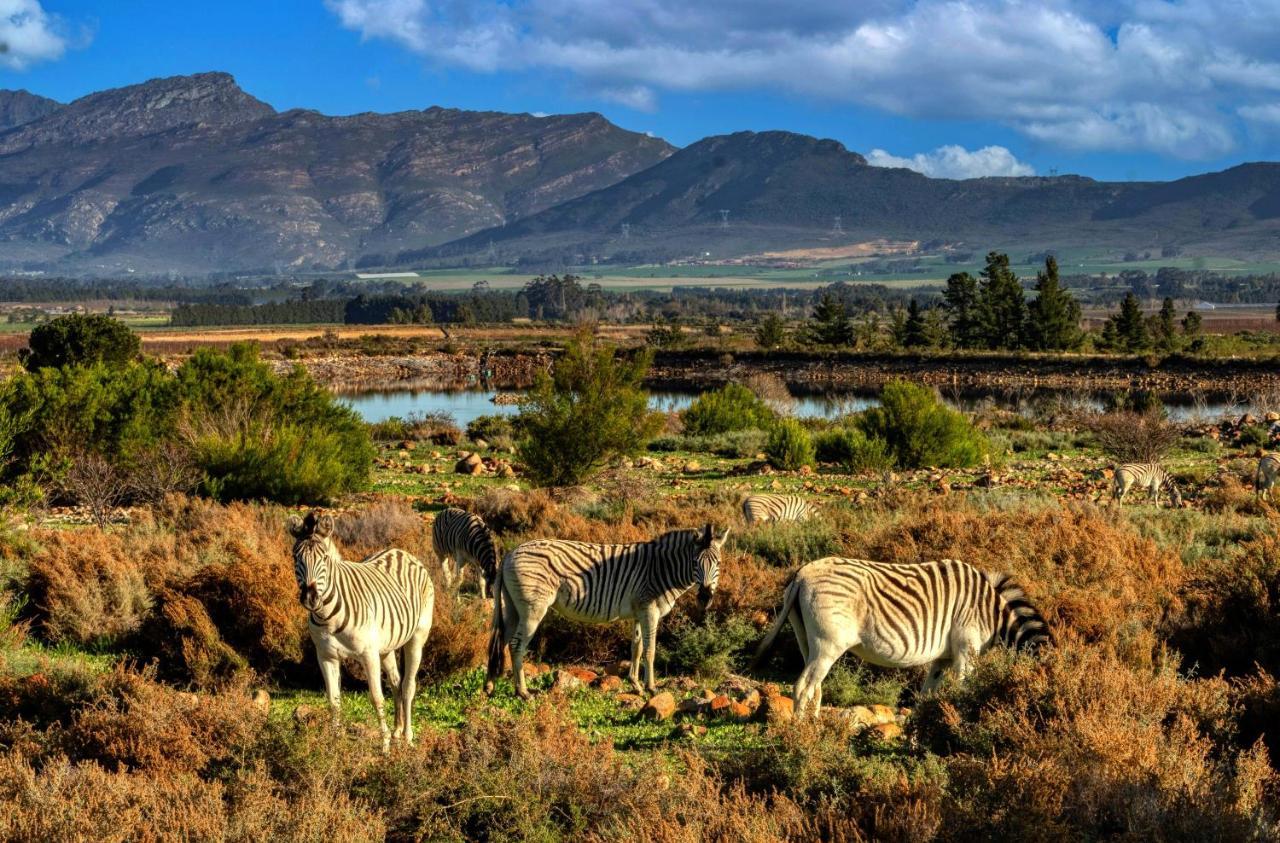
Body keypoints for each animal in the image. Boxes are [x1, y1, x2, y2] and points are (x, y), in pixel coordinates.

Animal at [286, 509, 435, 752]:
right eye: (294, 558)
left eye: (324, 558)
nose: (310, 598)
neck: (327, 616)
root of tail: (401, 552)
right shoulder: (325, 656)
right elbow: (333, 700)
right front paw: (335, 742)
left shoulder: (368, 654)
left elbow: (376, 697)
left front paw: (384, 745)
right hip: (386, 646)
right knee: (396, 682)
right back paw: (397, 730)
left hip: (417, 637)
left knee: (408, 685)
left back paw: (407, 736)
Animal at [486, 527, 732, 701]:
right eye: (695, 562)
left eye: (718, 563)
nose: (705, 598)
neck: (662, 569)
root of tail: (510, 553)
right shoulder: (650, 610)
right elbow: (650, 650)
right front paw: (651, 688)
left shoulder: (638, 612)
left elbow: (636, 648)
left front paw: (635, 685)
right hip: (532, 609)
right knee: (516, 645)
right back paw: (523, 692)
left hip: (512, 608)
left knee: (501, 643)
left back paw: (489, 685)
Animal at [752, 557, 1044, 716]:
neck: (991, 613)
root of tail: (802, 574)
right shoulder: (965, 647)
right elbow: (963, 688)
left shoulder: (944, 657)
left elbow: (926, 695)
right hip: (828, 644)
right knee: (804, 687)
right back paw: (803, 736)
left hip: (805, 638)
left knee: (815, 688)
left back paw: (815, 727)